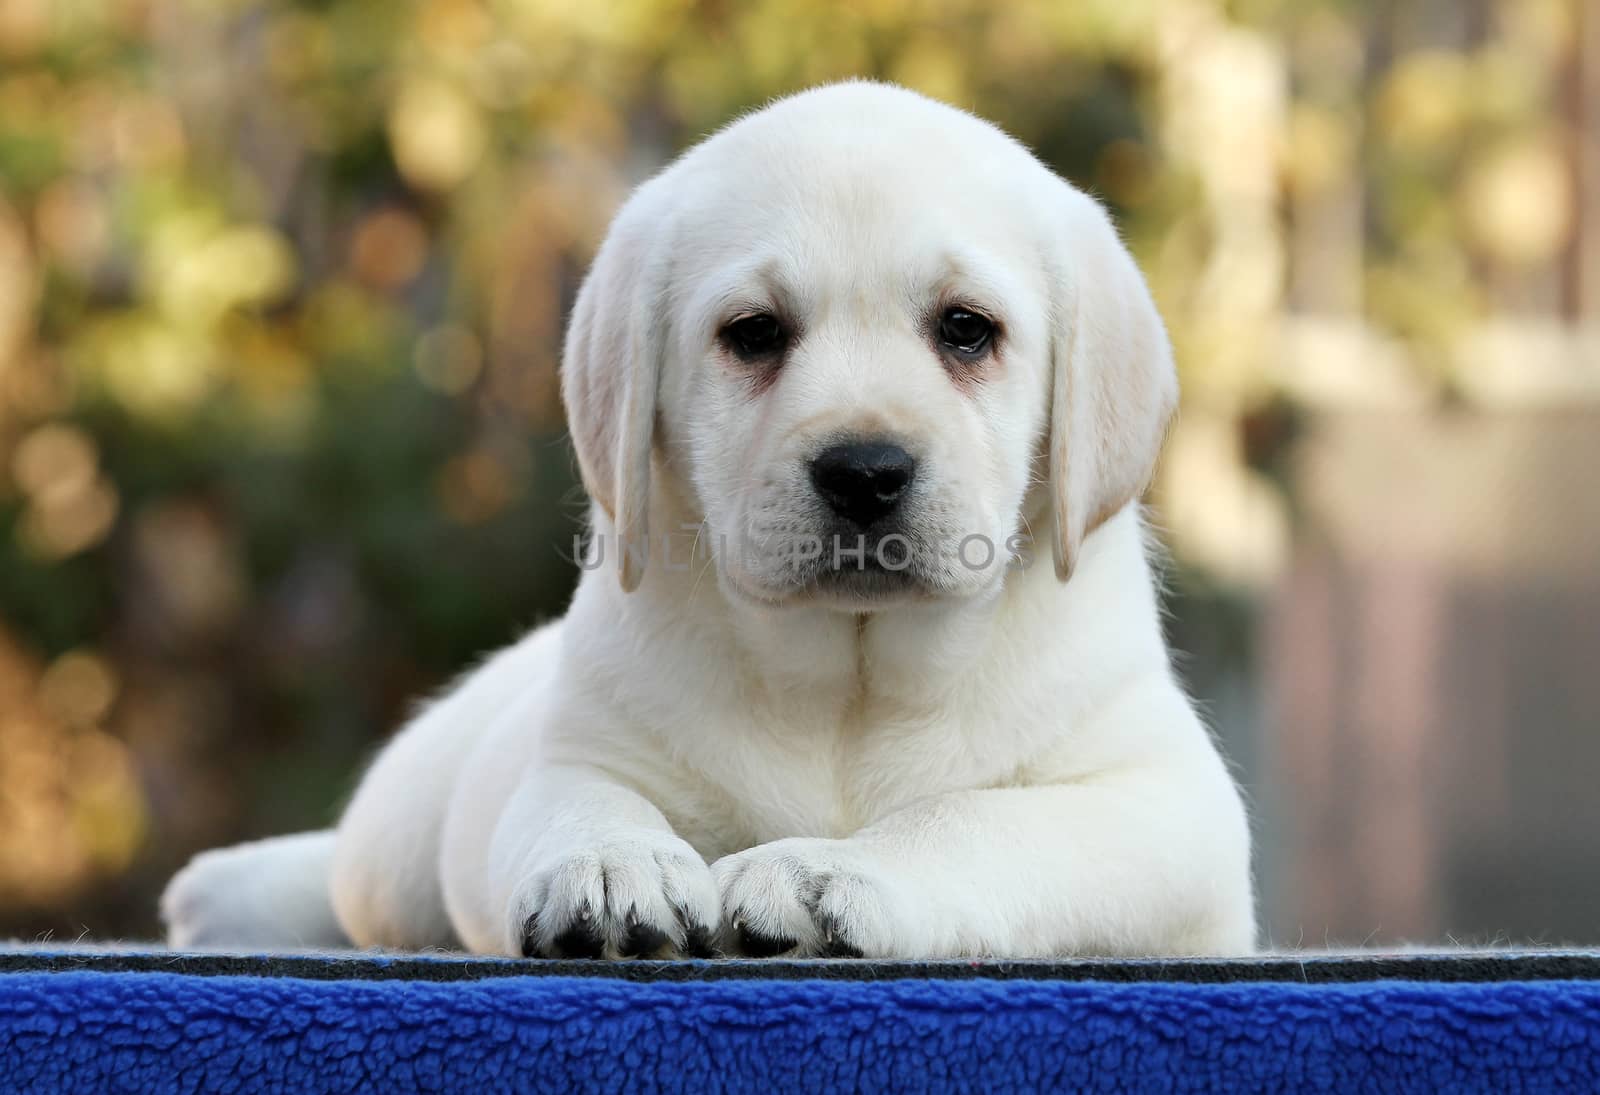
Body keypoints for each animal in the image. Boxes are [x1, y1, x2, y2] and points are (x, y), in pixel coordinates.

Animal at [165, 81, 1260, 960]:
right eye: (754, 334)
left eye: (965, 329)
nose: (864, 471)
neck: (847, 682)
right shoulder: (575, 756)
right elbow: (584, 803)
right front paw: (613, 868)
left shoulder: (1165, 808)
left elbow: (976, 819)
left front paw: (824, 873)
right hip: (407, 823)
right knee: (349, 882)